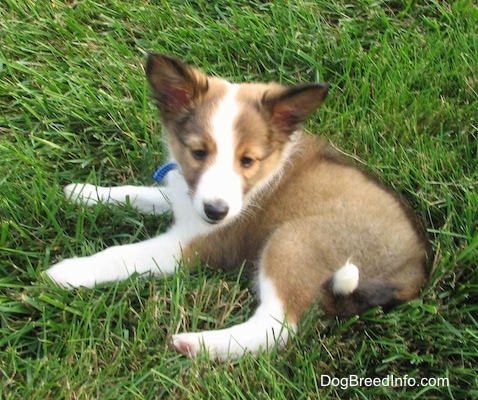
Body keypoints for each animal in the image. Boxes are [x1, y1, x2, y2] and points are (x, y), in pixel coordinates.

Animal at [45, 52, 430, 360]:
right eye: (198, 152)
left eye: (247, 160)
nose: (216, 212)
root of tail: (414, 273)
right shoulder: (185, 197)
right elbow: (137, 194)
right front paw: (84, 193)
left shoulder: (188, 245)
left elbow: (121, 255)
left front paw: (69, 272)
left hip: (293, 241)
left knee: (276, 327)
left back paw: (198, 344)